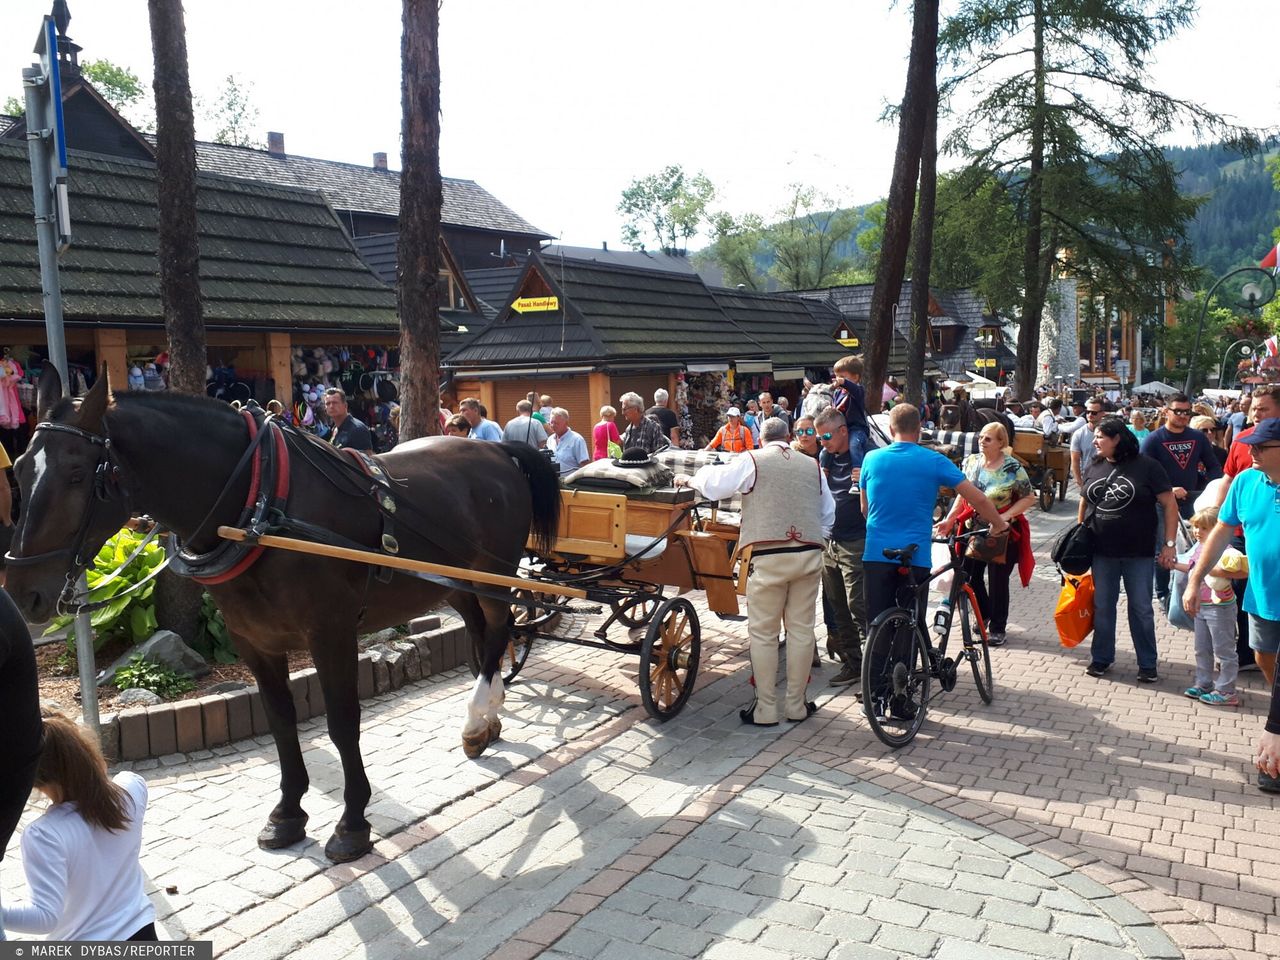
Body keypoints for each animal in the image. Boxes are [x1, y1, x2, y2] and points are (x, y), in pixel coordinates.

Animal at [6, 371, 555, 865]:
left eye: (78, 475)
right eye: (20, 469)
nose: (21, 591)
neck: (258, 502)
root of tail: (499, 451)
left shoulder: (331, 634)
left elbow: (341, 724)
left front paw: (352, 824)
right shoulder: (254, 640)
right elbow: (281, 722)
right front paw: (288, 814)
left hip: (491, 575)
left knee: (498, 628)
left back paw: (479, 711)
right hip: (453, 582)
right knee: (482, 633)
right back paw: (485, 719)